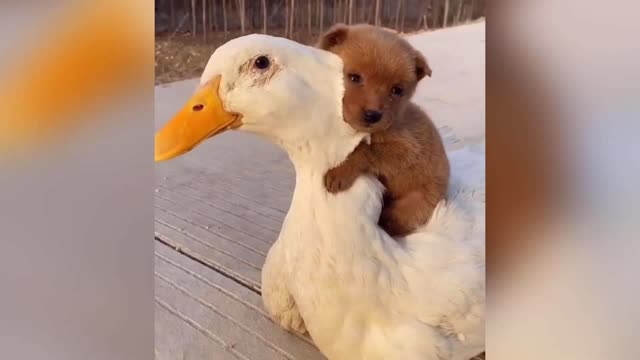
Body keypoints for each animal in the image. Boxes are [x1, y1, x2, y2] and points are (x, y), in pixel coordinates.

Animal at [316, 23, 450, 238]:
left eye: (397, 90)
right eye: (354, 77)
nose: (373, 115)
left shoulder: (407, 149)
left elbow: (365, 150)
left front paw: (340, 173)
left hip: (416, 203)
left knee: (396, 221)